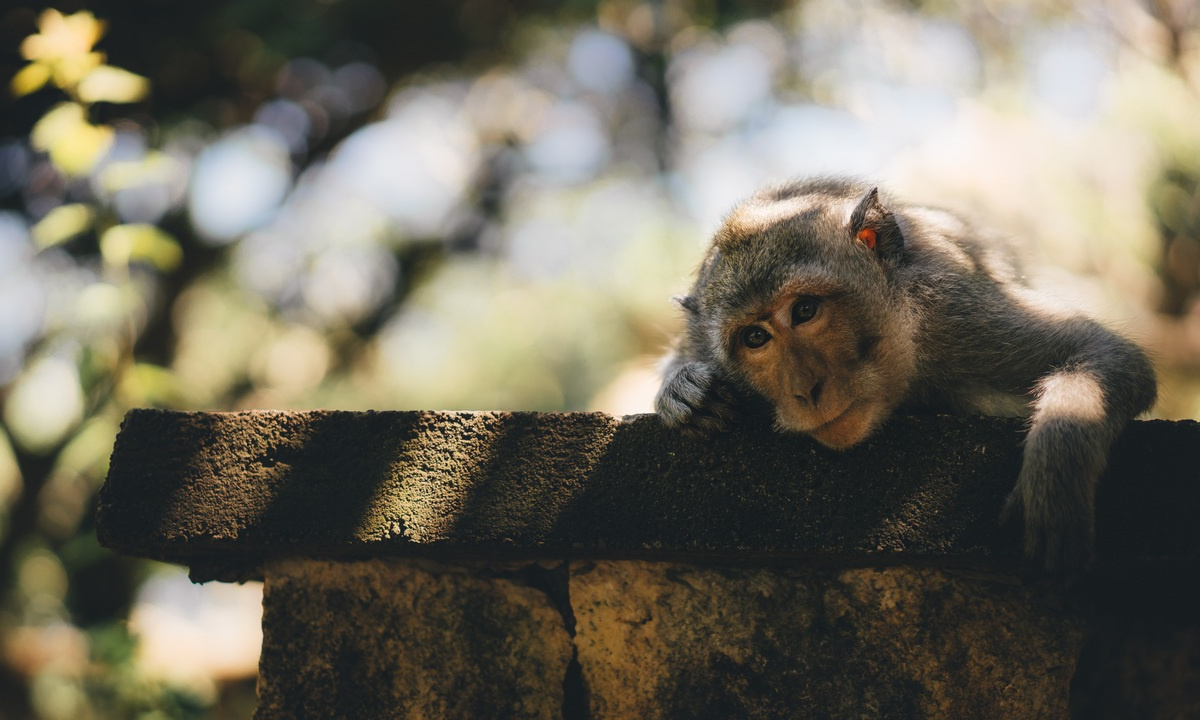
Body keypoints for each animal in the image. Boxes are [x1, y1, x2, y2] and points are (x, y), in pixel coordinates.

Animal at [652, 178, 1156, 573]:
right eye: (755, 337)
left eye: (805, 310)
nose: (804, 390)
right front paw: (684, 393)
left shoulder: (952, 312)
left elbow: (1103, 352)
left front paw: (1056, 480)